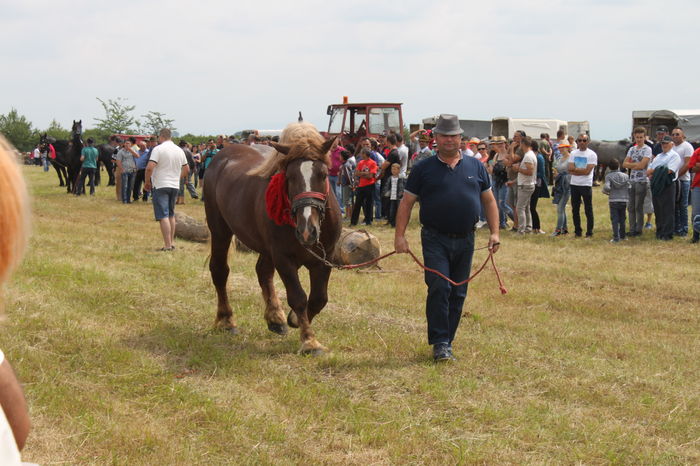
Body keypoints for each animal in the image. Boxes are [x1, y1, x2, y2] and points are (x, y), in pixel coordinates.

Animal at [203, 122, 342, 355]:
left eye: (323, 175)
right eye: (290, 176)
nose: (307, 230)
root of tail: (223, 155)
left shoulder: (325, 258)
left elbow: (318, 299)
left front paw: (294, 320)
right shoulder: (283, 257)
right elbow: (298, 297)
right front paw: (309, 341)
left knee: (263, 272)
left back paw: (275, 318)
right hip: (220, 231)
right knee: (220, 271)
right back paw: (226, 320)